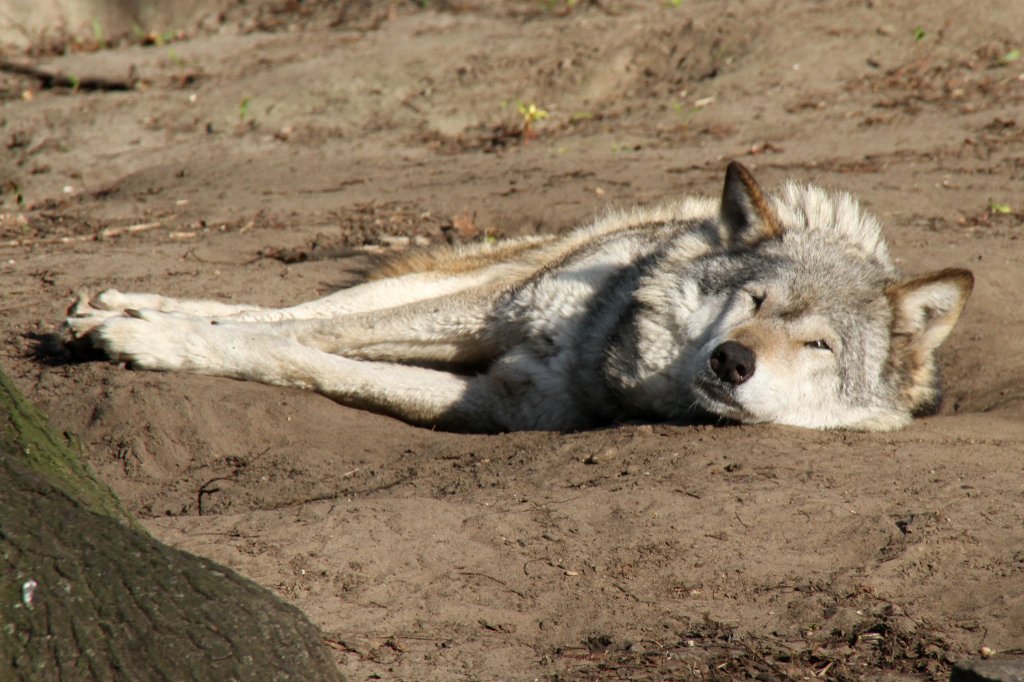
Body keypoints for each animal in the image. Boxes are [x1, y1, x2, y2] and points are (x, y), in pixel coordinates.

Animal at [66, 161, 974, 430]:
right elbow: (295, 337)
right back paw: (117, 305)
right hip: (480, 291)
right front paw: (146, 332)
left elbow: (310, 362)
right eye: (753, 302)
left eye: (819, 345)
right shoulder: (490, 319)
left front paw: (148, 340)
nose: (732, 362)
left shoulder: (493, 403)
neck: (601, 359)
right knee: (303, 311)